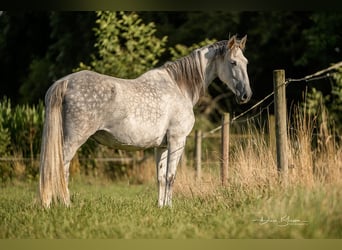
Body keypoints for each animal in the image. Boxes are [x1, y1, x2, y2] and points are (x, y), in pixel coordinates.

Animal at [39, 34, 251, 207]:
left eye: (246, 62)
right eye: (233, 62)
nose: (246, 95)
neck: (179, 87)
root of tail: (64, 82)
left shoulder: (162, 146)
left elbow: (161, 177)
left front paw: (161, 207)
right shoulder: (177, 141)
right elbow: (171, 176)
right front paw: (170, 208)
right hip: (73, 140)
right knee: (59, 169)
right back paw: (63, 205)